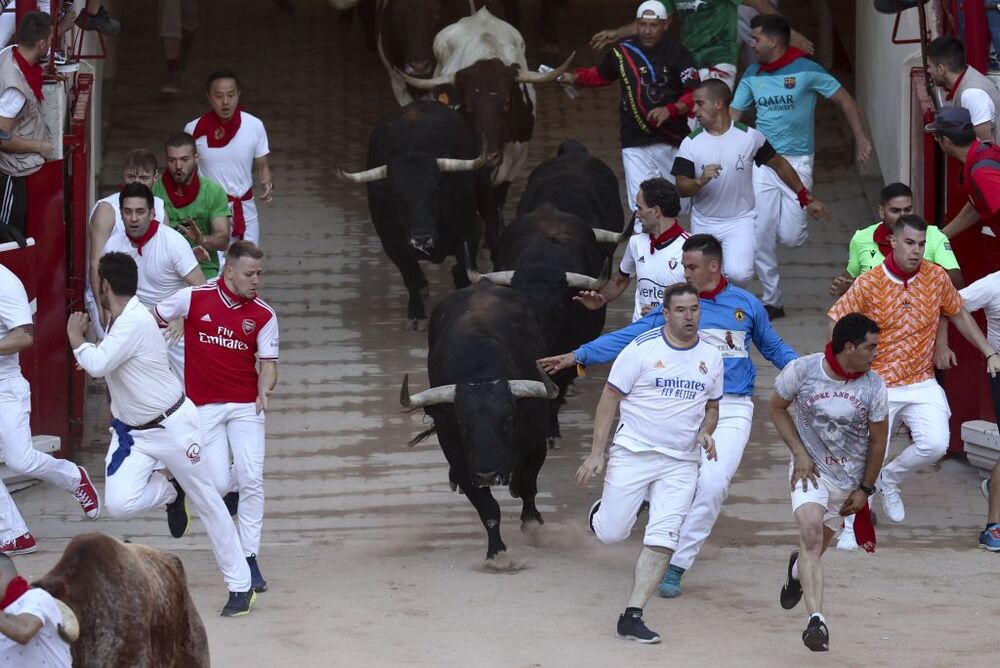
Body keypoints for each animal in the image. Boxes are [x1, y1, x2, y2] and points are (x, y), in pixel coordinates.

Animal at [396, 282, 556, 564]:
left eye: (508, 421)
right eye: (461, 424)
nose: (487, 474)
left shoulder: (536, 446)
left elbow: (528, 486)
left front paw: (532, 524)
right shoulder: (461, 460)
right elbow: (488, 508)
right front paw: (497, 554)